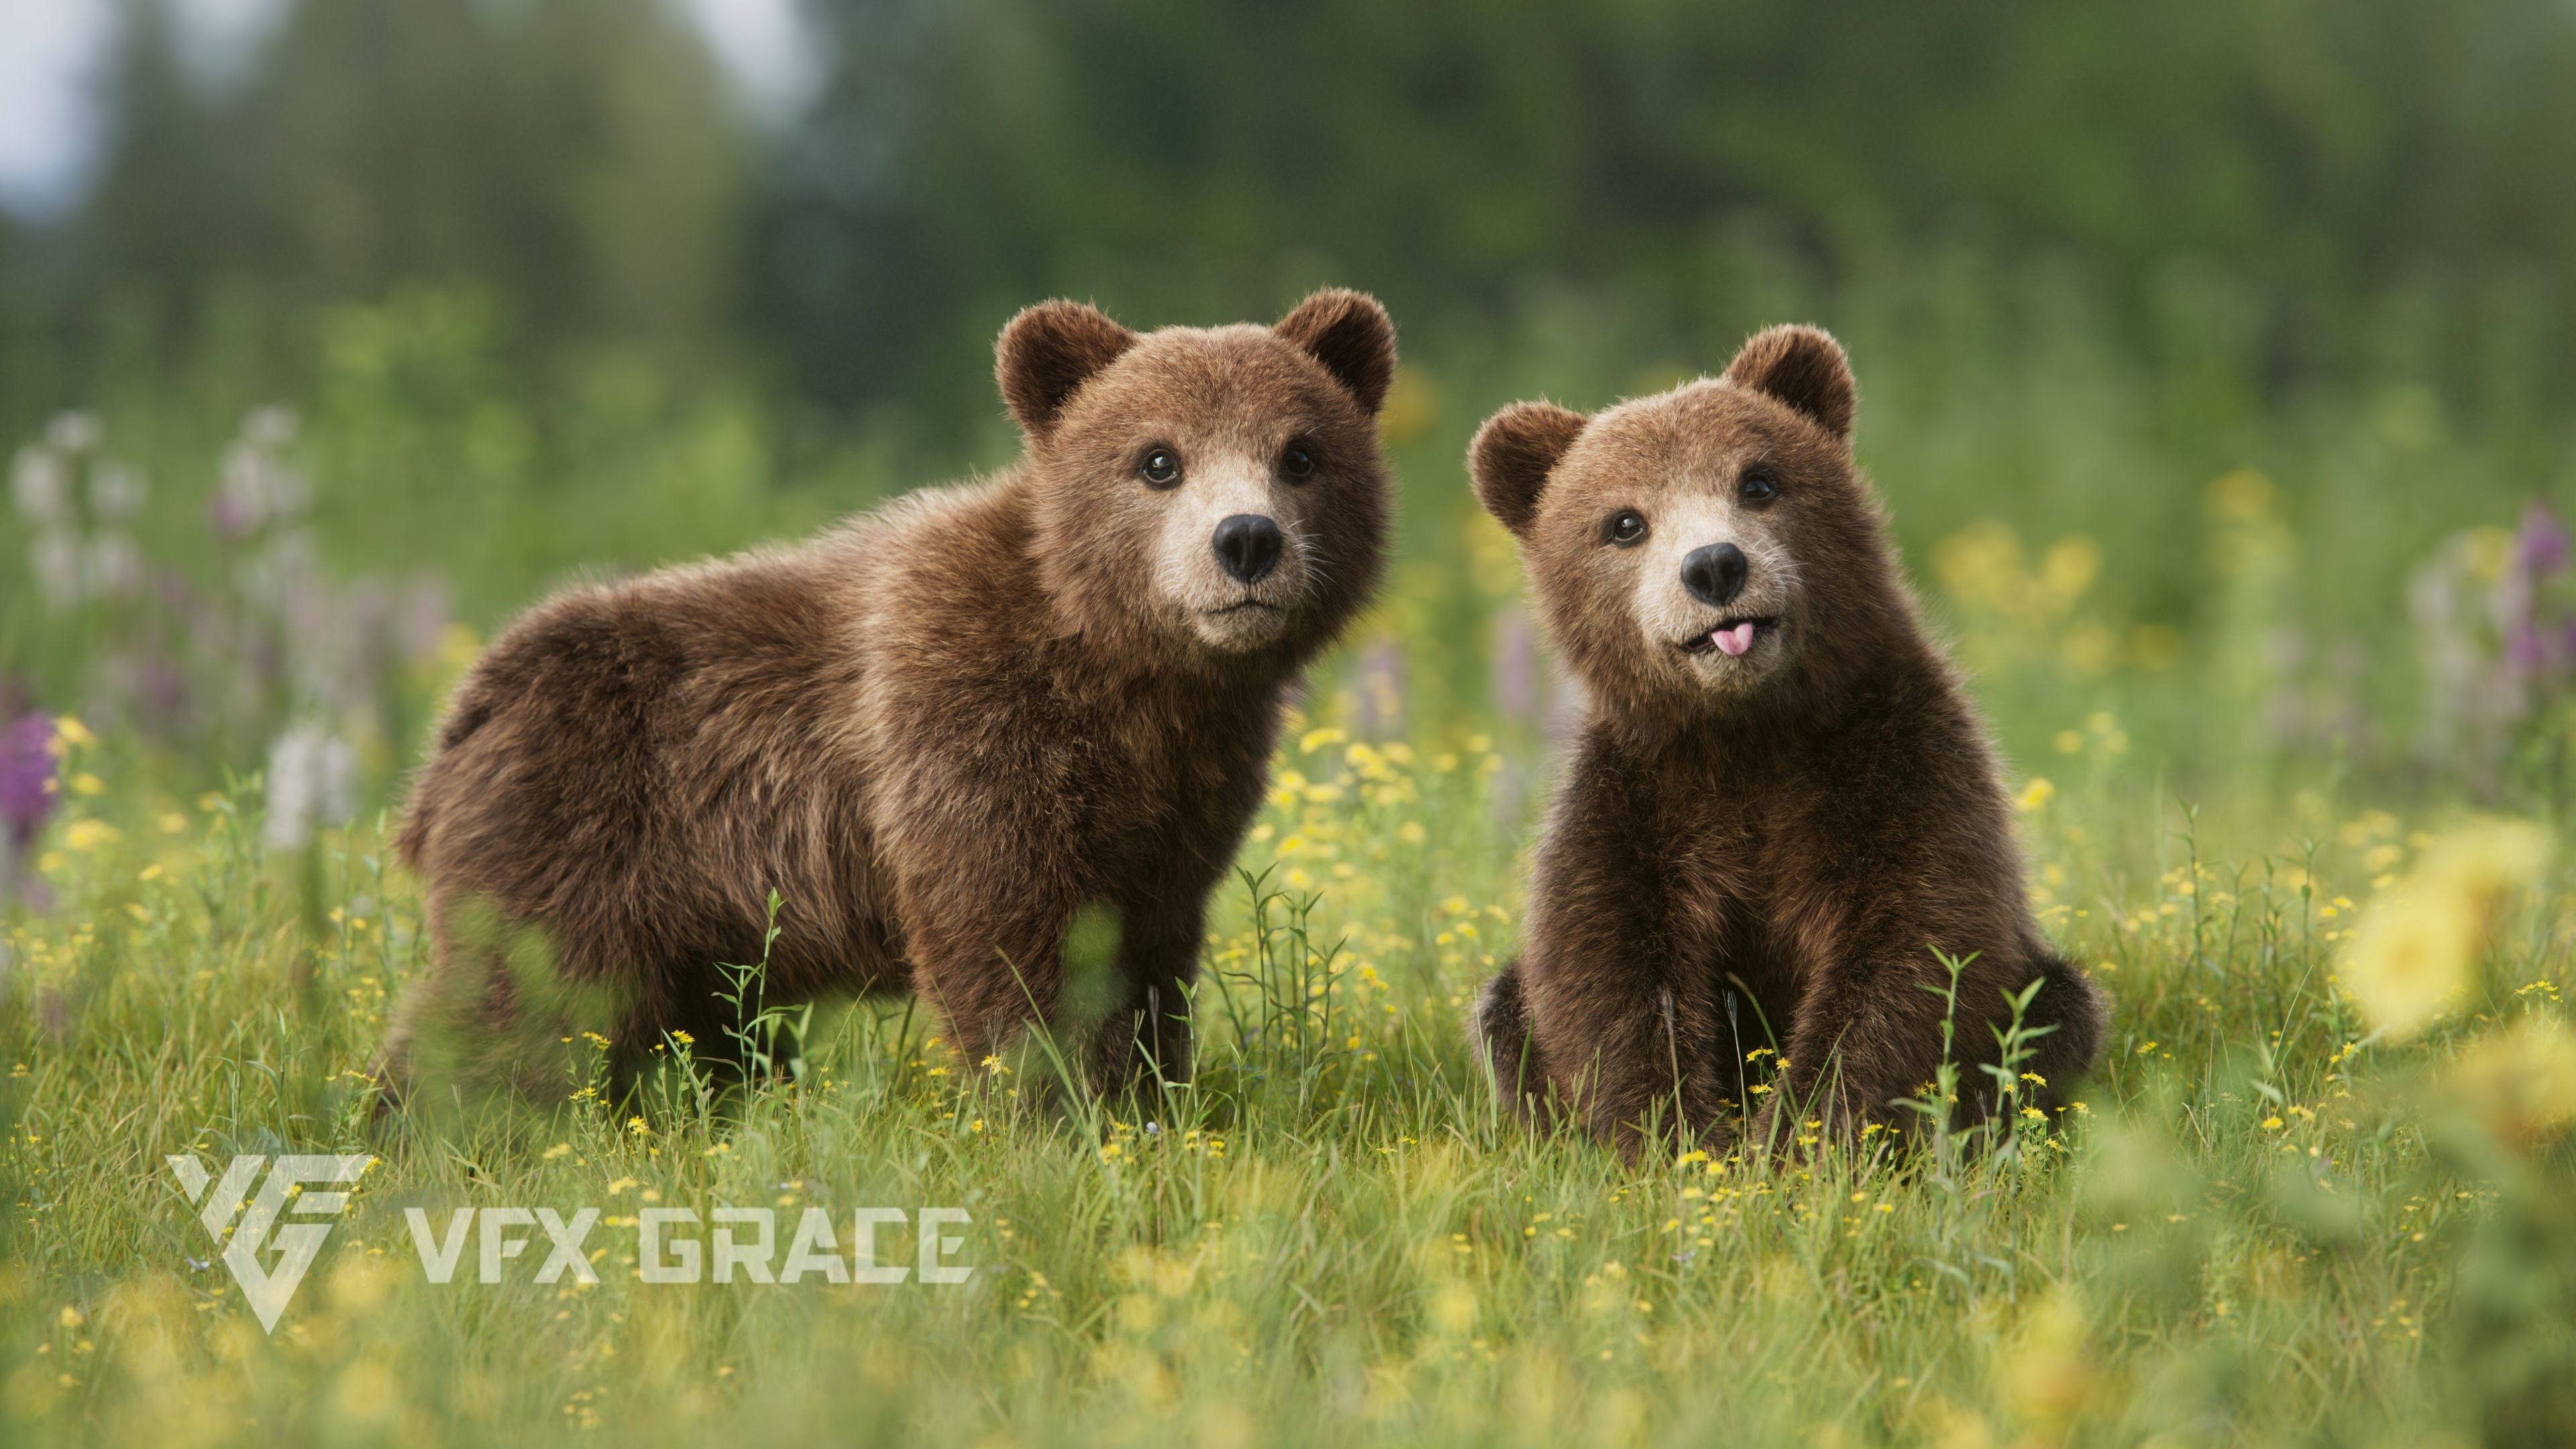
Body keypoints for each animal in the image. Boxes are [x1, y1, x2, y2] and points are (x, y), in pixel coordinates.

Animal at [384, 289, 1396, 1105]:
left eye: (1300, 454)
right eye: (1158, 460)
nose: (1247, 541)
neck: (1127, 671)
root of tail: (458, 720)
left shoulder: (1180, 803)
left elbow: (1149, 955)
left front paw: (1150, 1099)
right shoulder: (961, 726)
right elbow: (1012, 941)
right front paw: (1057, 1105)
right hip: (582, 836)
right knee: (522, 1001)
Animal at [1465, 325, 2105, 1159]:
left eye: (1759, 481)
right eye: (1625, 521)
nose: (1714, 565)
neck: (1751, 733)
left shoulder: (1900, 762)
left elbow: (1914, 944)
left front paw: (1801, 1136)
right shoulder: (1636, 799)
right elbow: (1608, 967)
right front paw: (1678, 1138)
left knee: (2056, 1014)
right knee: (1504, 1014)